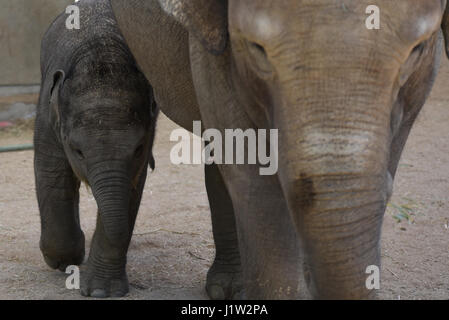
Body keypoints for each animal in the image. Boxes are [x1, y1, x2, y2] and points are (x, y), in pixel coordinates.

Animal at [33, 0, 157, 298]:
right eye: (77, 151)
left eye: (137, 149)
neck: (101, 50)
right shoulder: (48, 114)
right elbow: (51, 174)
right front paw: (64, 261)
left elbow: (132, 186)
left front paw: (102, 291)